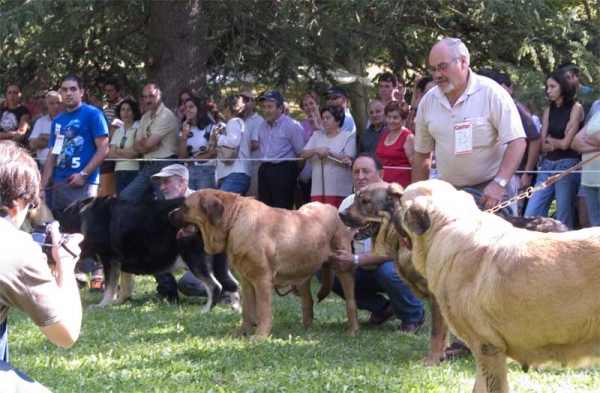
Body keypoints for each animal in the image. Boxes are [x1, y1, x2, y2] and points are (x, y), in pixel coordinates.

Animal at [59, 196, 239, 312]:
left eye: (61, 226)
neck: (84, 214)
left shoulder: (109, 260)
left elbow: (110, 286)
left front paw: (104, 304)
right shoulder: (121, 264)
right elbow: (125, 288)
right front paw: (117, 302)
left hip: (194, 259)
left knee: (214, 286)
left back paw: (206, 310)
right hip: (219, 264)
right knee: (232, 284)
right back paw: (235, 309)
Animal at [169, 188, 358, 338]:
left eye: (185, 206)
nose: (169, 214)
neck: (234, 220)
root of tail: (334, 209)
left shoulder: (261, 280)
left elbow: (263, 310)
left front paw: (259, 336)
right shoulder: (247, 281)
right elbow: (247, 310)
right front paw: (241, 331)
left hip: (343, 268)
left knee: (351, 302)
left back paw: (353, 329)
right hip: (301, 274)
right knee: (307, 302)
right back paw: (304, 328)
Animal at [346, 178, 600, 392]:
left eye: (364, 201)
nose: (341, 214)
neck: (447, 225)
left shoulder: (488, 346)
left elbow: (438, 336)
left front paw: (432, 360)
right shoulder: (482, 351)